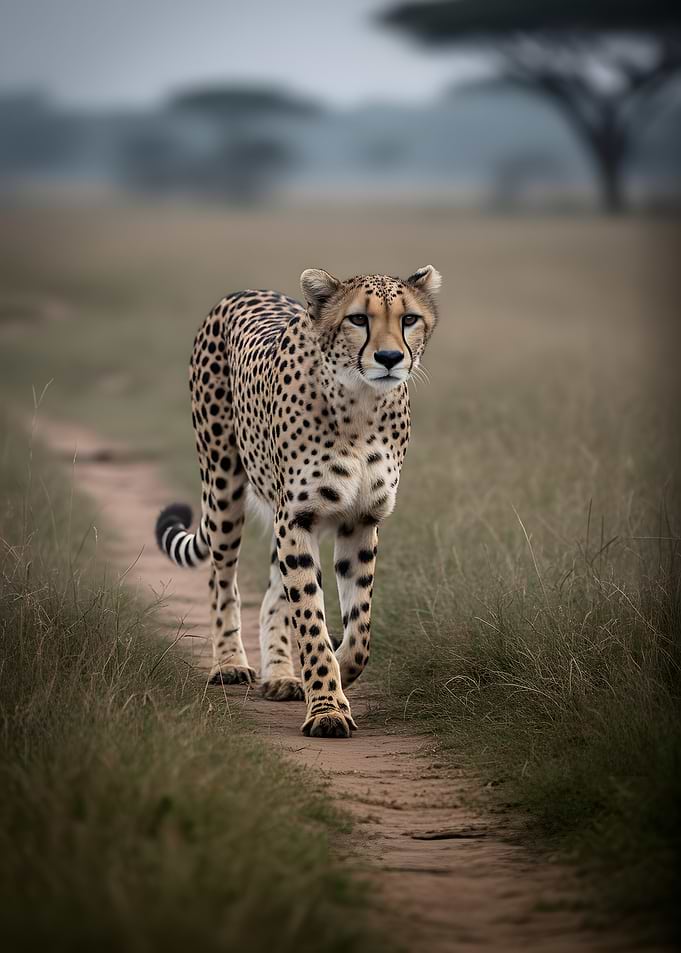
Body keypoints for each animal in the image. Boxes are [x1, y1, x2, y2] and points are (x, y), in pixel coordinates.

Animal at [155, 265, 441, 738]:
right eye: (358, 319)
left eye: (409, 319)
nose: (388, 358)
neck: (361, 405)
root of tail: (244, 290)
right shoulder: (298, 517)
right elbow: (309, 614)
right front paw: (327, 706)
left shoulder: (360, 520)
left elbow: (359, 628)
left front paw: (337, 672)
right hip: (223, 487)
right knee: (222, 577)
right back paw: (230, 663)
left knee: (273, 593)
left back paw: (281, 675)